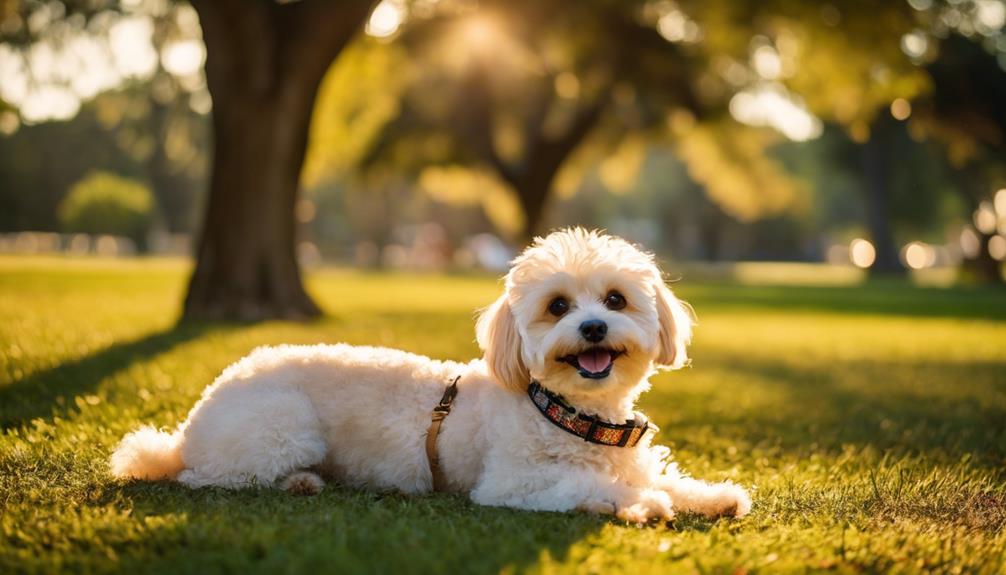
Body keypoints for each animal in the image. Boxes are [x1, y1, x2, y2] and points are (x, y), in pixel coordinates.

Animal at [114, 228, 752, 522]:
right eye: (558, 307)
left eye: (616, 300)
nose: (594, 327)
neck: (567, 412)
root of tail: (190, 424)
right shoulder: (509, 484)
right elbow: (588, 483)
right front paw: (636, 504)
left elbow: (664, 480)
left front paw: (712, 496)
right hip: (282, 426)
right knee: (208, 479)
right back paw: (292, 483)